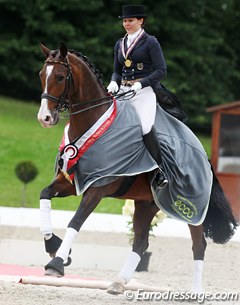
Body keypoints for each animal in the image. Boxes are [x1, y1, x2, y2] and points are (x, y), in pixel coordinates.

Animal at [36, 42, 237, 292]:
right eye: (41, 75)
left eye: (61, 77)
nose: (44, 118)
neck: (94, 123)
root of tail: (203, 153)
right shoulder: (71, 182)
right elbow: (44, 195)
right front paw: (52, 245)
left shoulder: (97, 188)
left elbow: (76, 221)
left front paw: (56, 263)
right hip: (146, 204)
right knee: (141, 242)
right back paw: (118, 283)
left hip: (192, 206)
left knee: (198, 245)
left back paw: (195, 292)